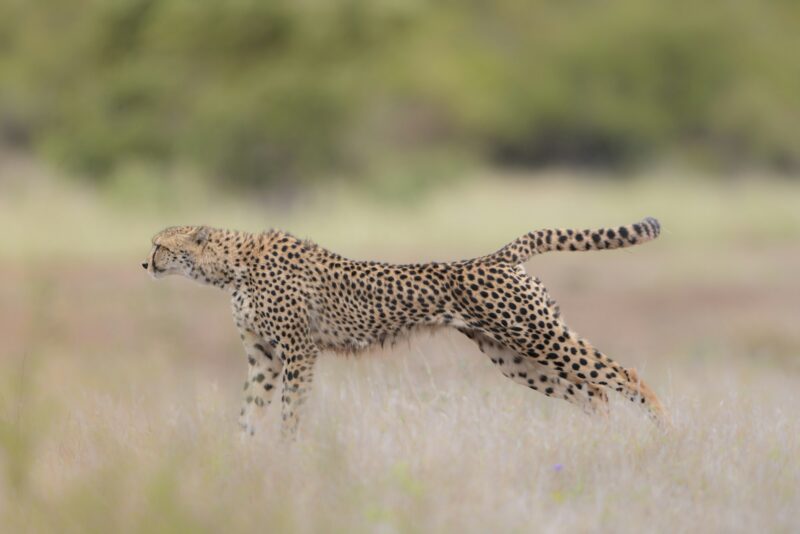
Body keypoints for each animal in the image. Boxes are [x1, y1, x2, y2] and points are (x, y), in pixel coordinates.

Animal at [142, 219, 668, 440]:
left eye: (160, 245)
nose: (144, 263)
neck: (232, 266)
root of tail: (498, 255)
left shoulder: (297, 351)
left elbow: (291, 411)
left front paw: (286, 452)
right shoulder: (264, 357)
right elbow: (249, 411)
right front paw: (244, 457)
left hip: (535, 335)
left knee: (622, 375)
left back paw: (665, 431)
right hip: (511, 355)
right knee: (592, 393)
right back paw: (598, 448)